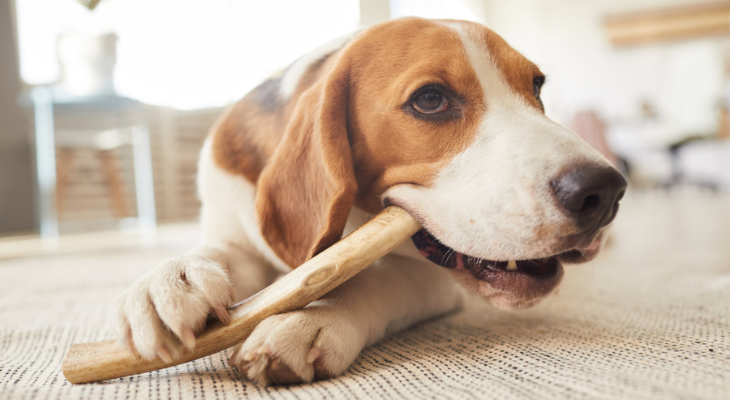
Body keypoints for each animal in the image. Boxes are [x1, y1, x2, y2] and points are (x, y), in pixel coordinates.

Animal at [115, 17, 624, 386]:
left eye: (536, 86)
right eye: (431, 100)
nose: (604, 191)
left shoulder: (427, 276)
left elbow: (373, 278)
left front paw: (311, 318)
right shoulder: (233, 232)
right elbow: (216, 254)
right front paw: (170, 281)